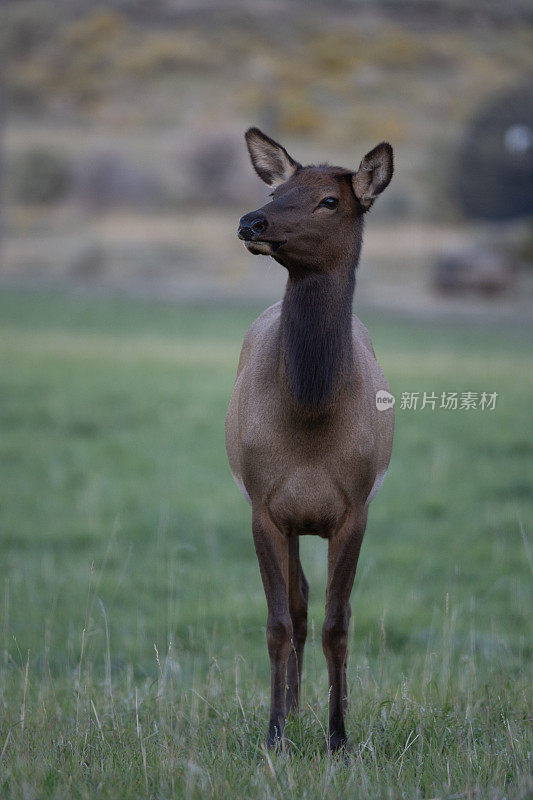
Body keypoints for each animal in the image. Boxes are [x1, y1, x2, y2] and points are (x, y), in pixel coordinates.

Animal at [225, 128, 394, 752]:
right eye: (278, 190)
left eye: (329, 200)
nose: (251, 221)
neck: (311, 418)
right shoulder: (265, 505)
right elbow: (280, 622)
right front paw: (275, 734)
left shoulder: (355, 506)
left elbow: (337, 624)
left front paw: (339, 737)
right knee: (295, 607)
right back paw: (293, 712)